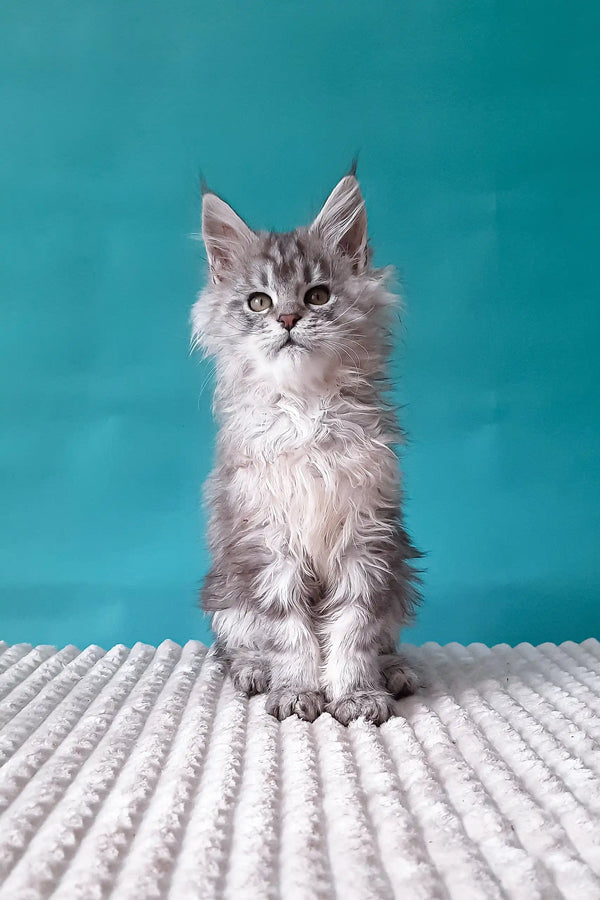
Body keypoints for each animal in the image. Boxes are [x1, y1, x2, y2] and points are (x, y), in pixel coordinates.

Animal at [190, 172, 420, 728]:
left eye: (317, 296)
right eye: (259, 302)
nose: (290, 318)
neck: (308, 411)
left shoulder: (368, 536)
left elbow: (354, 630)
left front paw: (357, 693)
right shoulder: (269, 542)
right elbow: (289, 632)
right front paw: (297, 690)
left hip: (401, 577)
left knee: (385, 639)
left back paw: (394, 671)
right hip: (226, 589)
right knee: (236, 643)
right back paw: (254, 670)